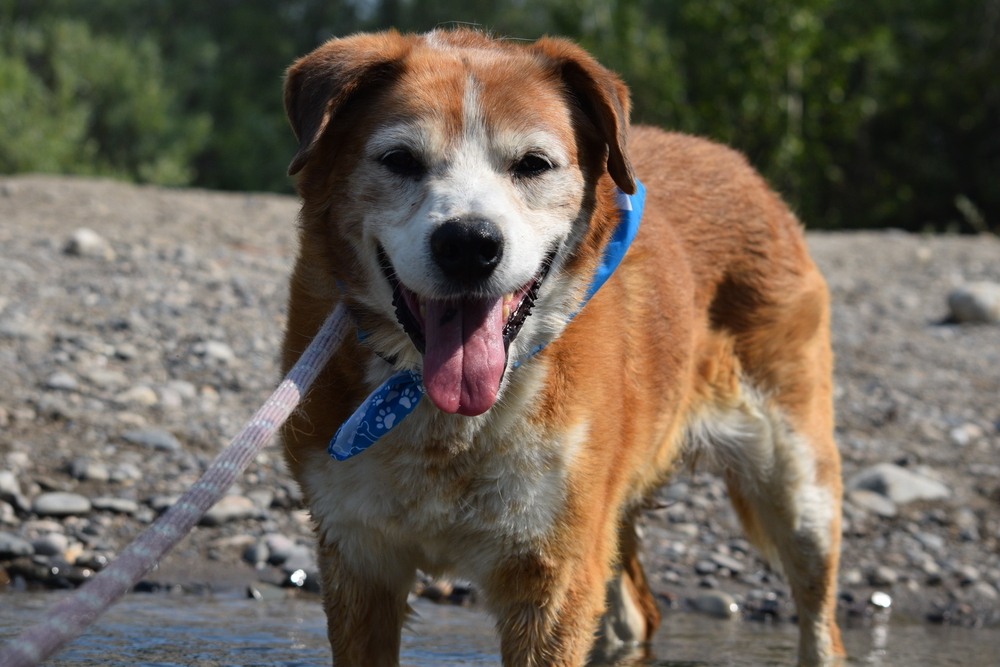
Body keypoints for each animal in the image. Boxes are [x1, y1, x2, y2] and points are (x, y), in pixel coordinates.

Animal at [280, 28, 844, 664]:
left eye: (533, 164)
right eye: (400, 159)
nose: (469, 244)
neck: (441, 417)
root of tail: (737, 163)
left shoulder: (553, 573)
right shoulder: (358, 560)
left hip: (797, 484)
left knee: (820, 620)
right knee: (634, 617)